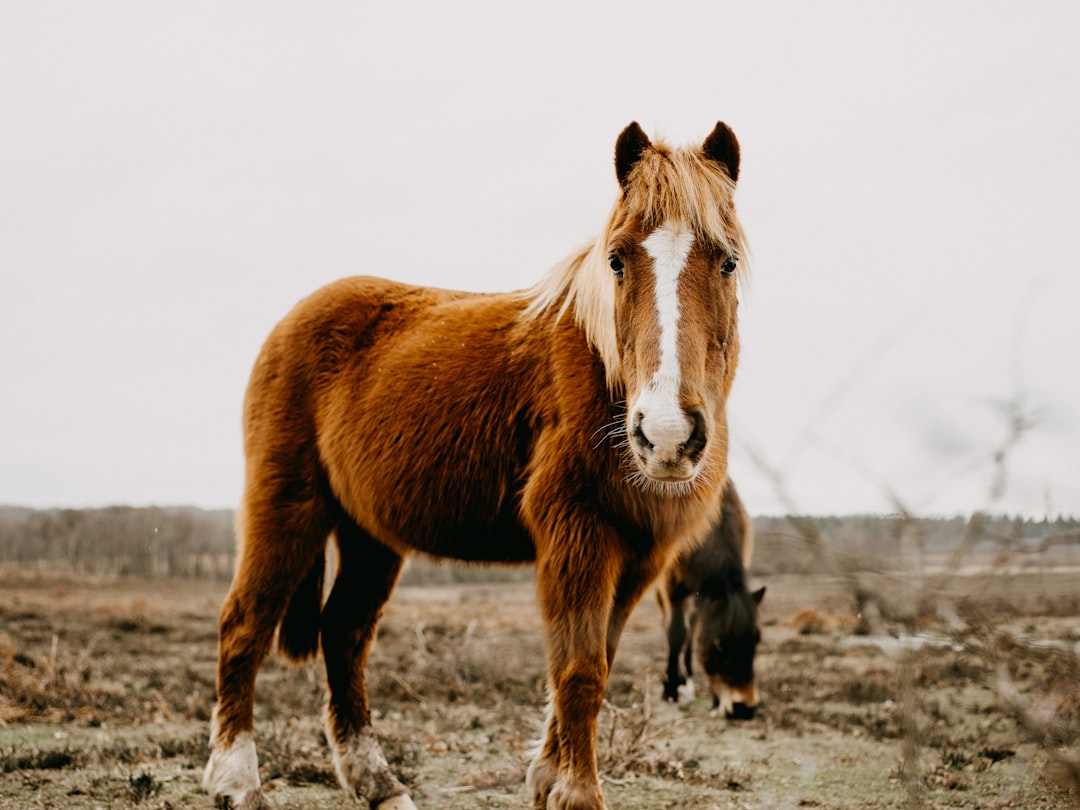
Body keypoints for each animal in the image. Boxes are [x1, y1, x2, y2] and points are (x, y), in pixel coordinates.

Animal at [204, 120, 751, 810]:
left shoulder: (638, 559)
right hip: (286, 509)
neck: (602, 378)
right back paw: (236, 781)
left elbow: (595, 657)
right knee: (244, 627)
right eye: (617, 259)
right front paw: (577, 793)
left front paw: (546, 780)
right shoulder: (579, 537)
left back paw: (377, 782)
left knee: (344, 634)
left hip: (369, 536)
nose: (668, 435)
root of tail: (291, 322)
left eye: (727, 260)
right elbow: (580, 669)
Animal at [652, 479, 764, 721]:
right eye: (719, 643)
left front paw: (713, 700)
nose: (744, 708)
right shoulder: (672, 587)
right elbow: (675, 633)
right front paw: (670, 690)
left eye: (756, 639)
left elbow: (692, 634)